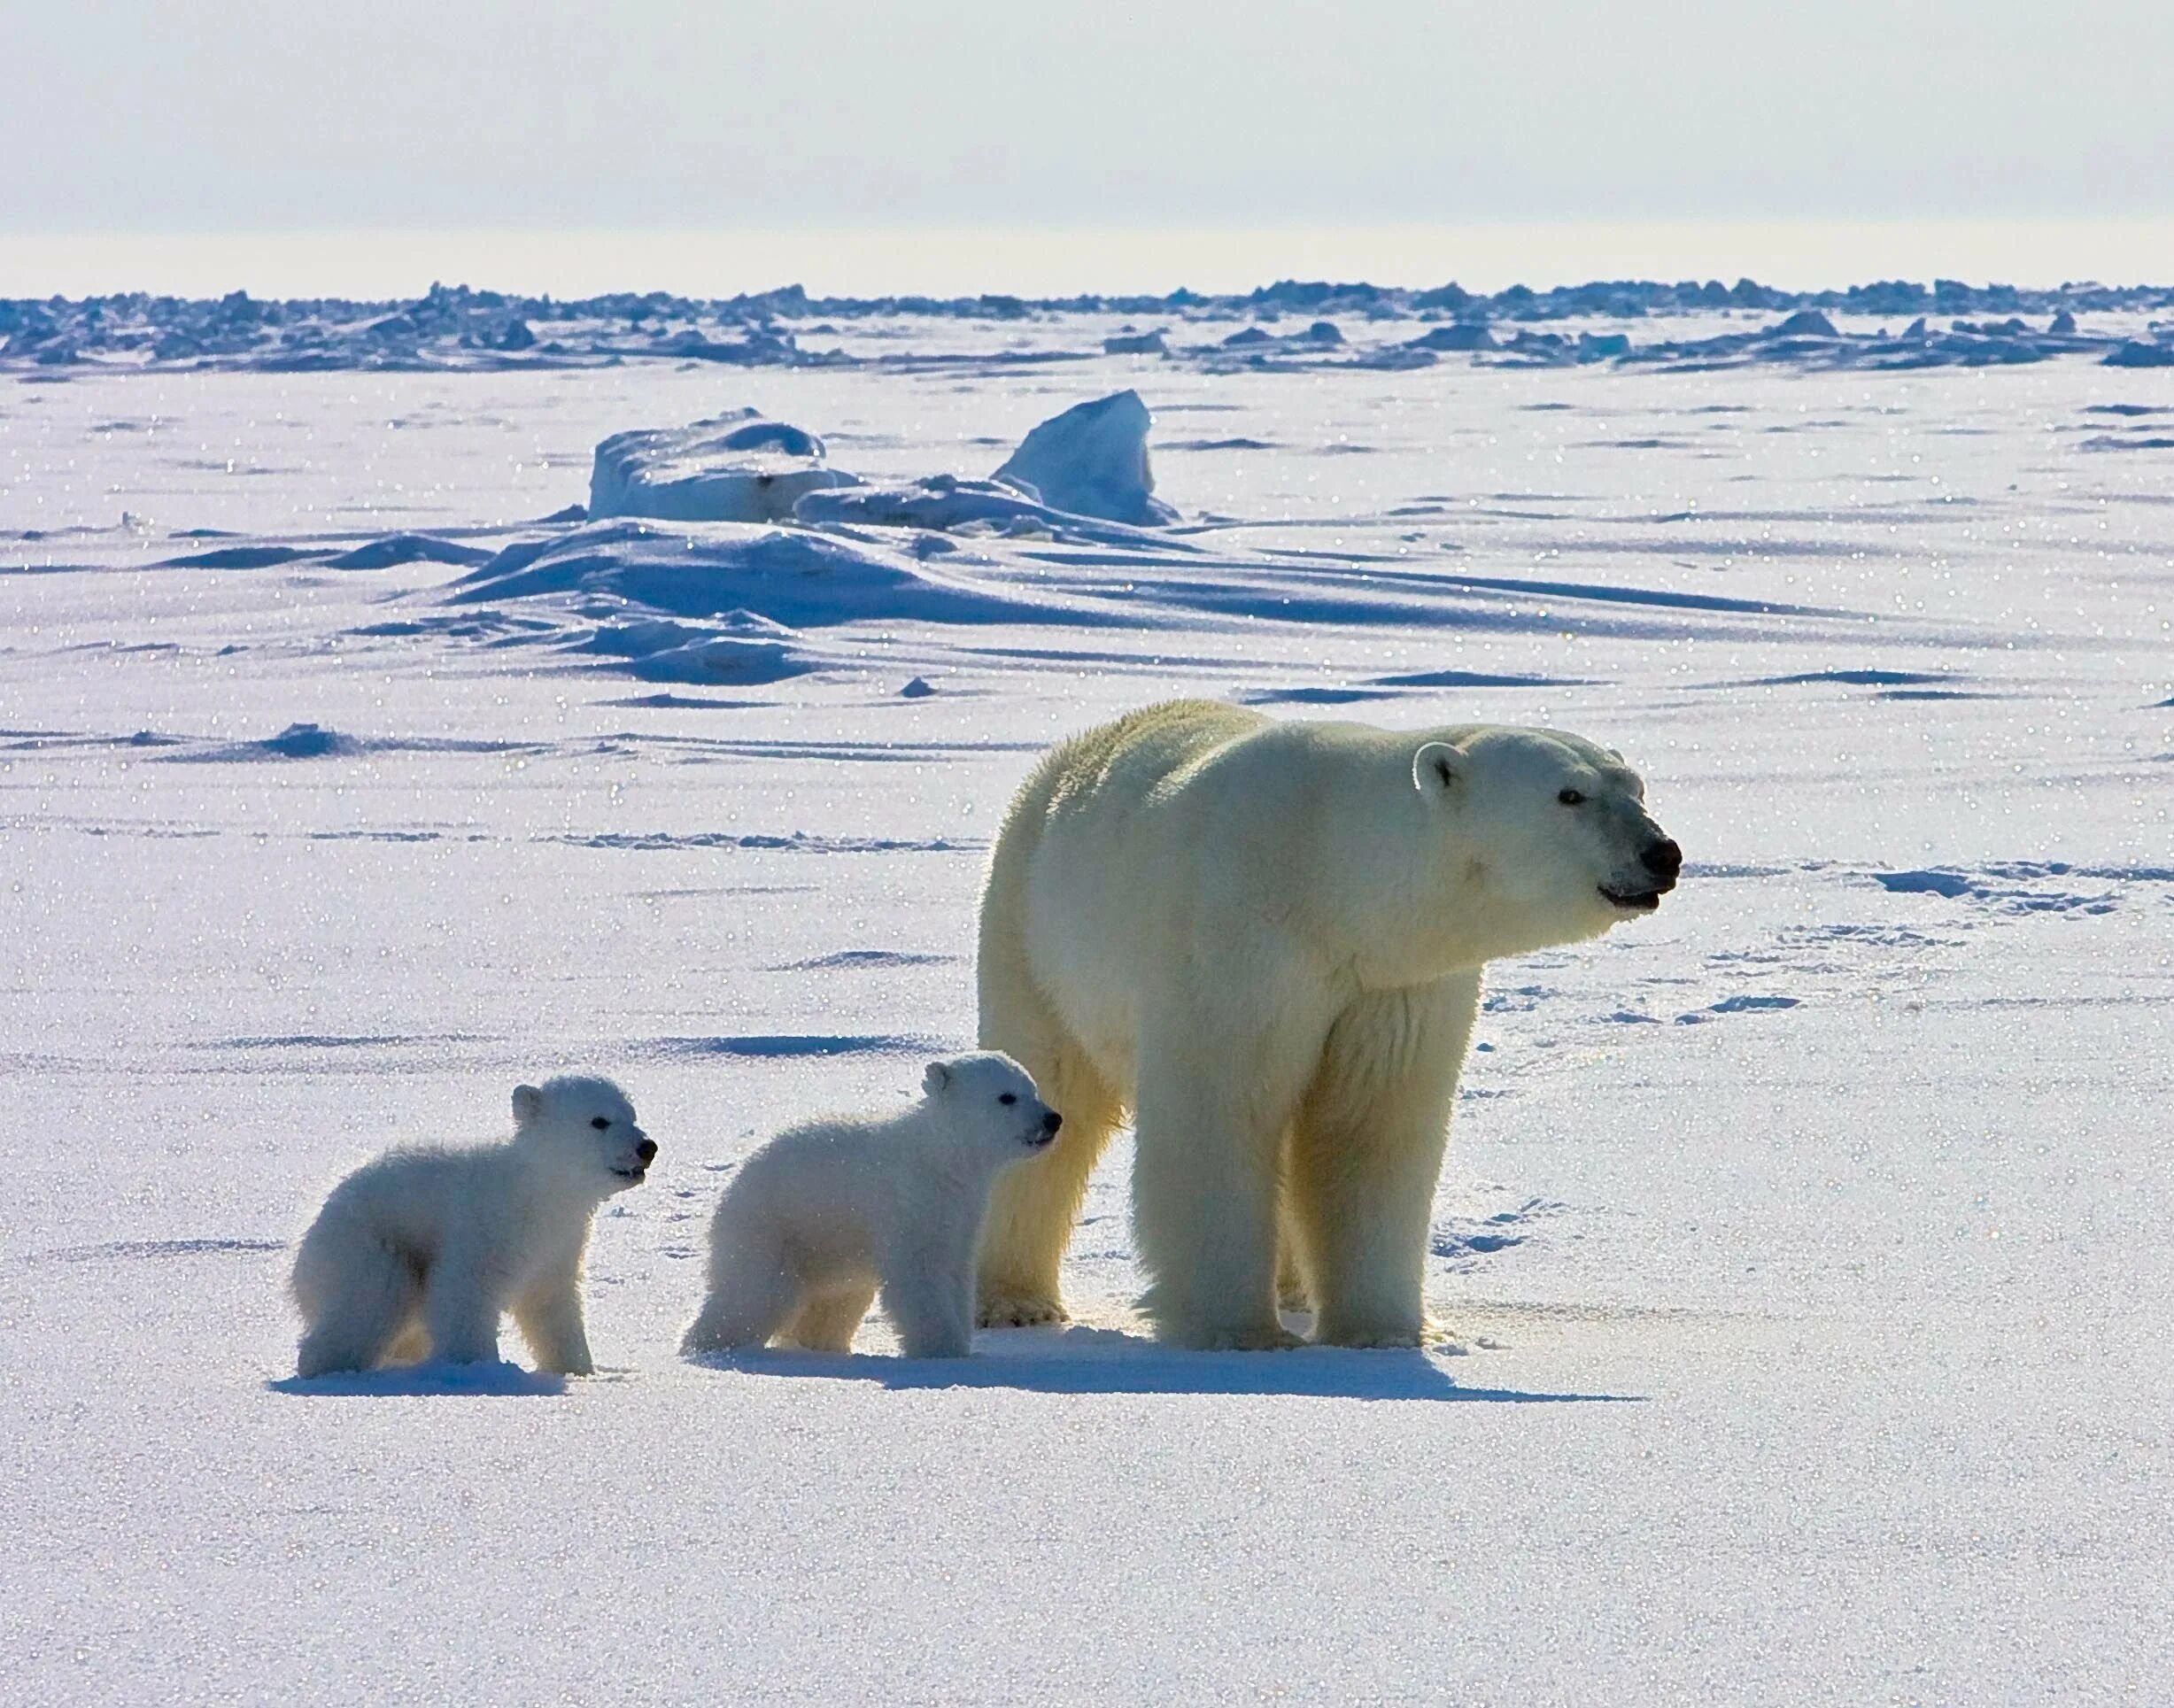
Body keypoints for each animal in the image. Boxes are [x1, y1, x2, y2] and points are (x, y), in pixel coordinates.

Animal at [982, 699, 1678, 1347]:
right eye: (1569, 794)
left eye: (1636, 787)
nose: (1662, 853)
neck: (1328, 878)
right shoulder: (1238, 948)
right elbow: (1224, 1113)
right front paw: (1238, 1332)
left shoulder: (1393, 984)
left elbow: (1368, 1126)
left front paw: (1384, 1333)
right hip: (1033, 934)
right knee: (1052, 1093)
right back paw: (1015, 1302)